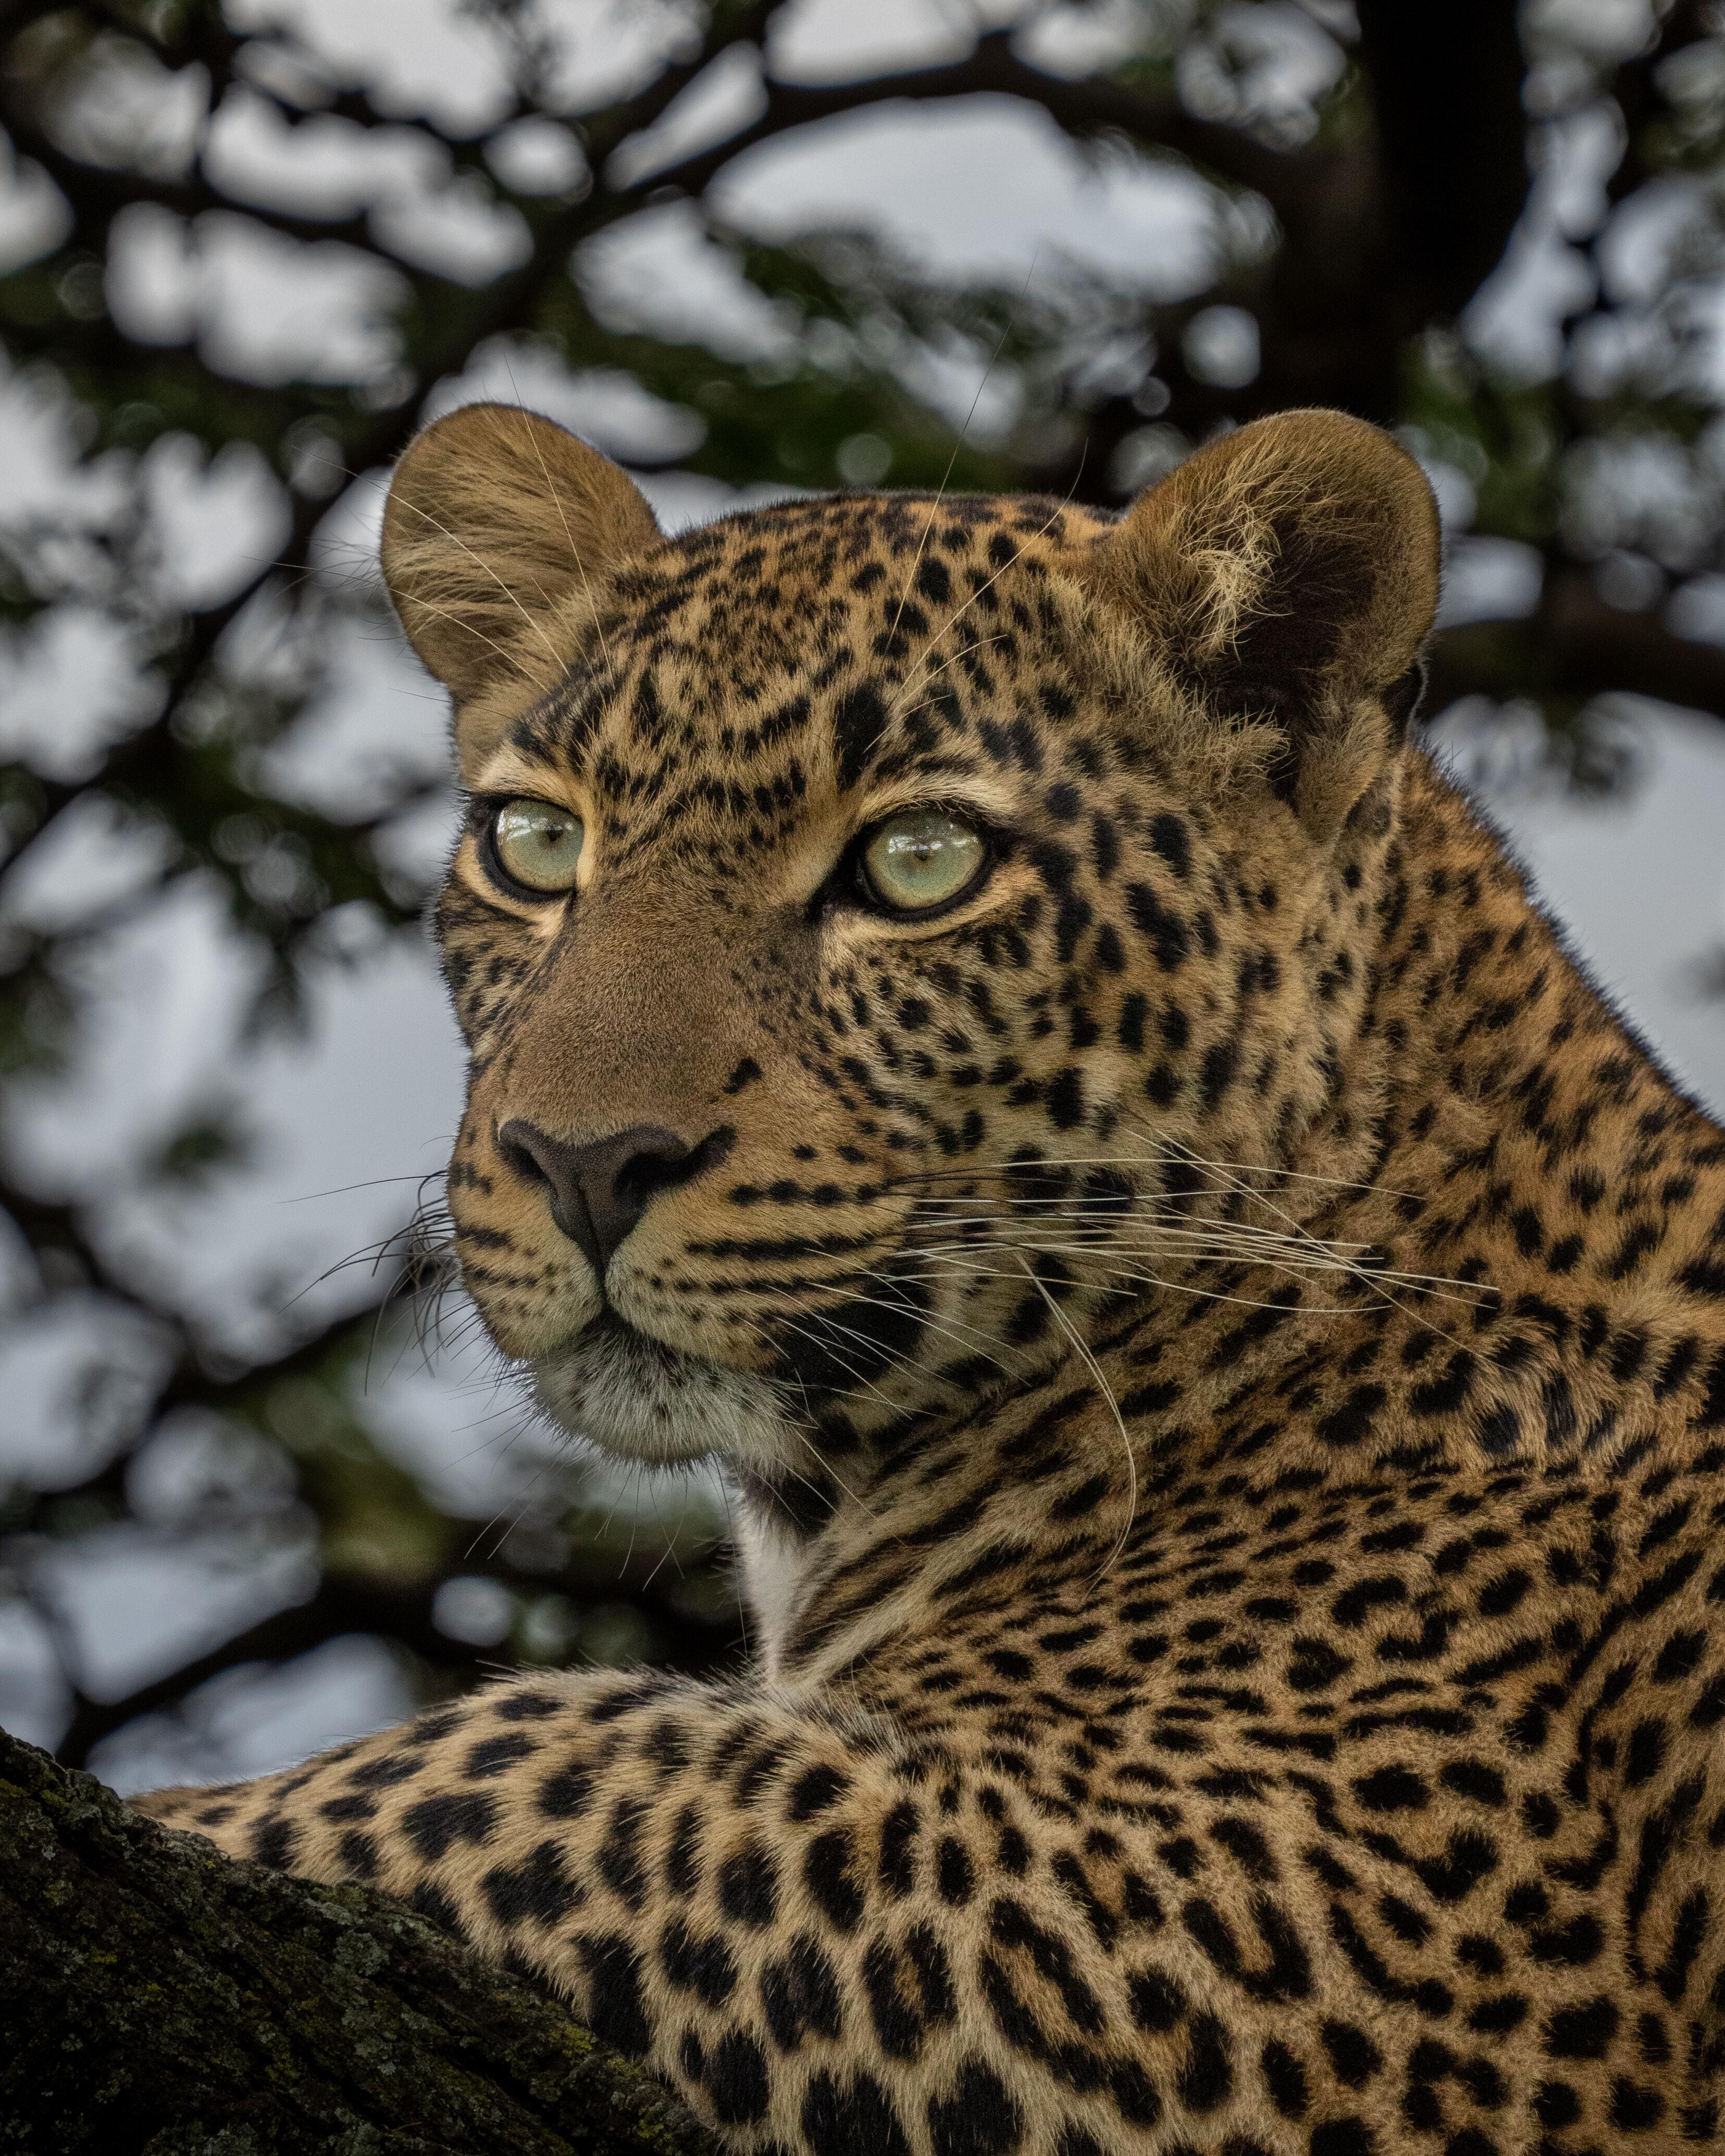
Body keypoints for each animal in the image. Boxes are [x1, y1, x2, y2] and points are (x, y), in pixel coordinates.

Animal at [128, 405, 1725, 2156]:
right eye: (534, 843)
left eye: (917, 862)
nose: (581, 1160)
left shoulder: (1264, 1926)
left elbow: (563, 1759)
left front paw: (182, 1812)